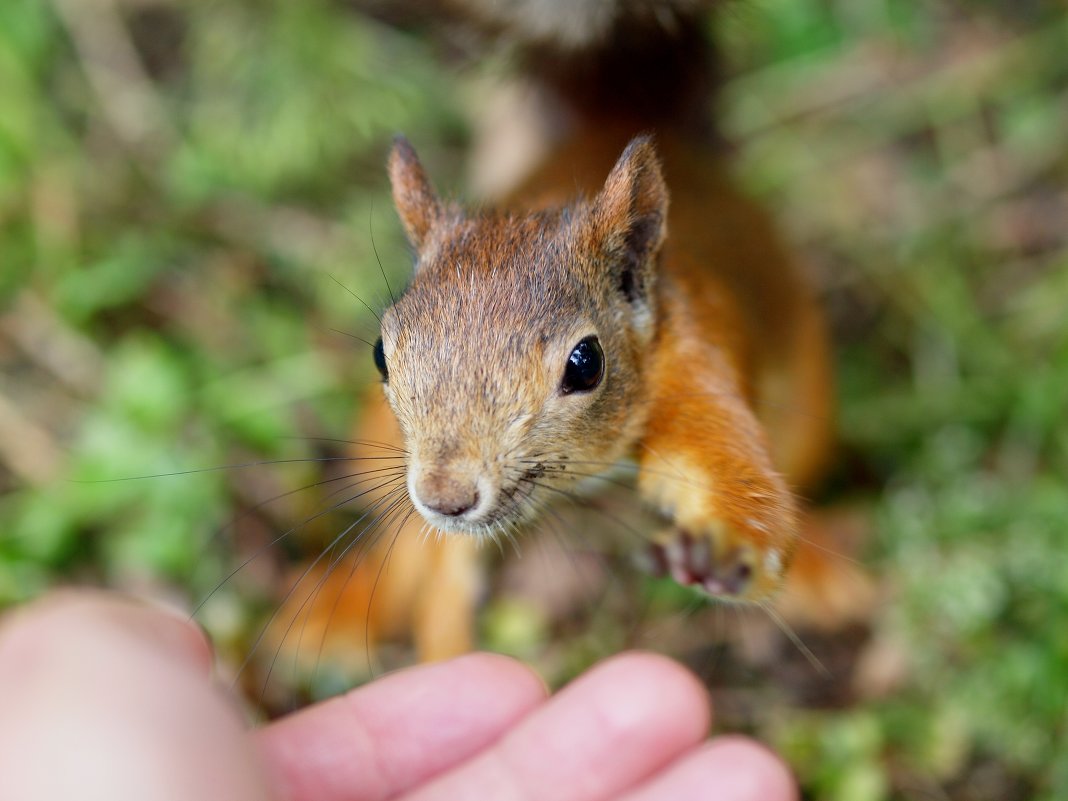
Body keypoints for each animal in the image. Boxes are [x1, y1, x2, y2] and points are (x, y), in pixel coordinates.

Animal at [279, 0, 871, 670]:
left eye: (586, 364)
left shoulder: (696, 360)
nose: (444, 497)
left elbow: (733, 481)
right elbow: (441, 577)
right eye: (382, 353)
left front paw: (722, 549)